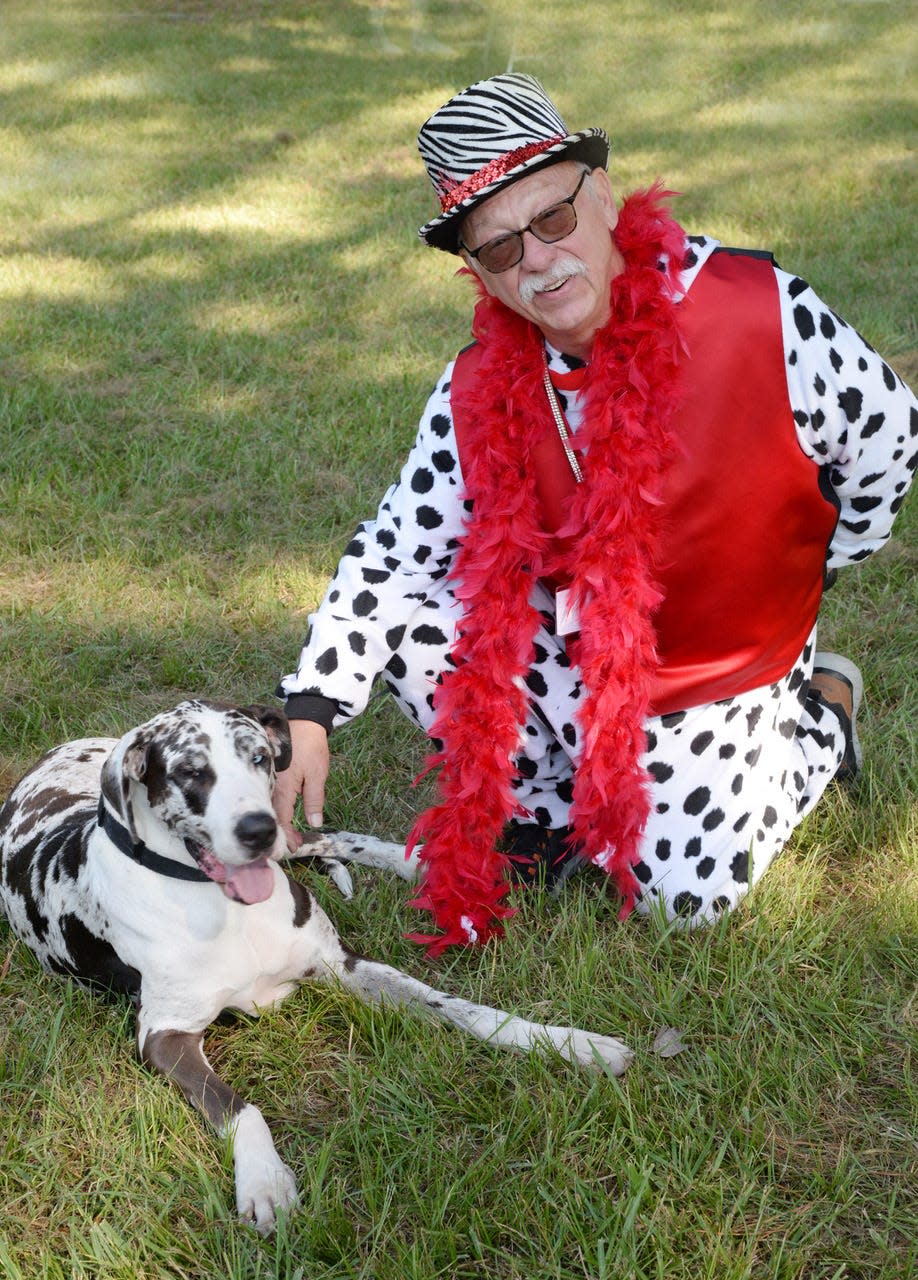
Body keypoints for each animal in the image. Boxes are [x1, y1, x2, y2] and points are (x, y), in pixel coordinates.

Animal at [0, 701, 629, 1228]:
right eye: (191, 772)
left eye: (257, 756)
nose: (256, 829)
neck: (225, 908)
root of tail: (70, 746)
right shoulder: (164, 1035)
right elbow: (241, 1108)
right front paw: (264, 1182)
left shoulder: (342, 964)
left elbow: (465, 1010)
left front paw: (570, 1042)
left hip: (293, 834)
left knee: (332, 838)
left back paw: (426, 867)